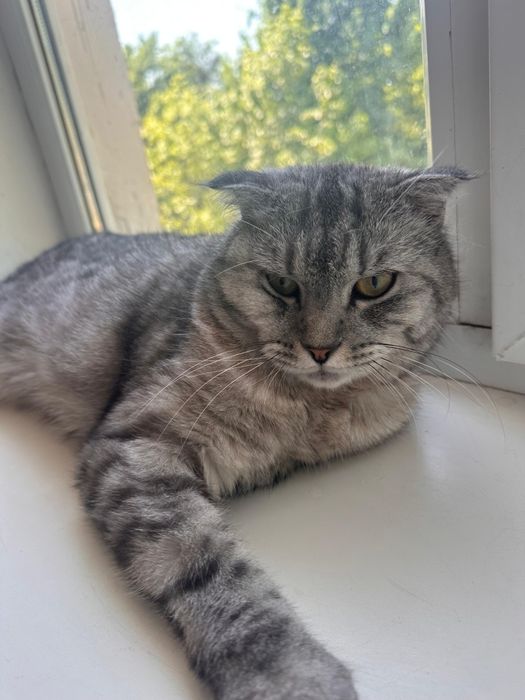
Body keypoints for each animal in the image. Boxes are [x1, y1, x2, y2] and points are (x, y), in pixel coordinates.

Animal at [0, 163, 469, 699]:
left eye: (375, 283)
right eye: (281, 284)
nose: (320, 349)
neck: (312, 409)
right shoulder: (134, 444)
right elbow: (211, 571)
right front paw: (287, 673)